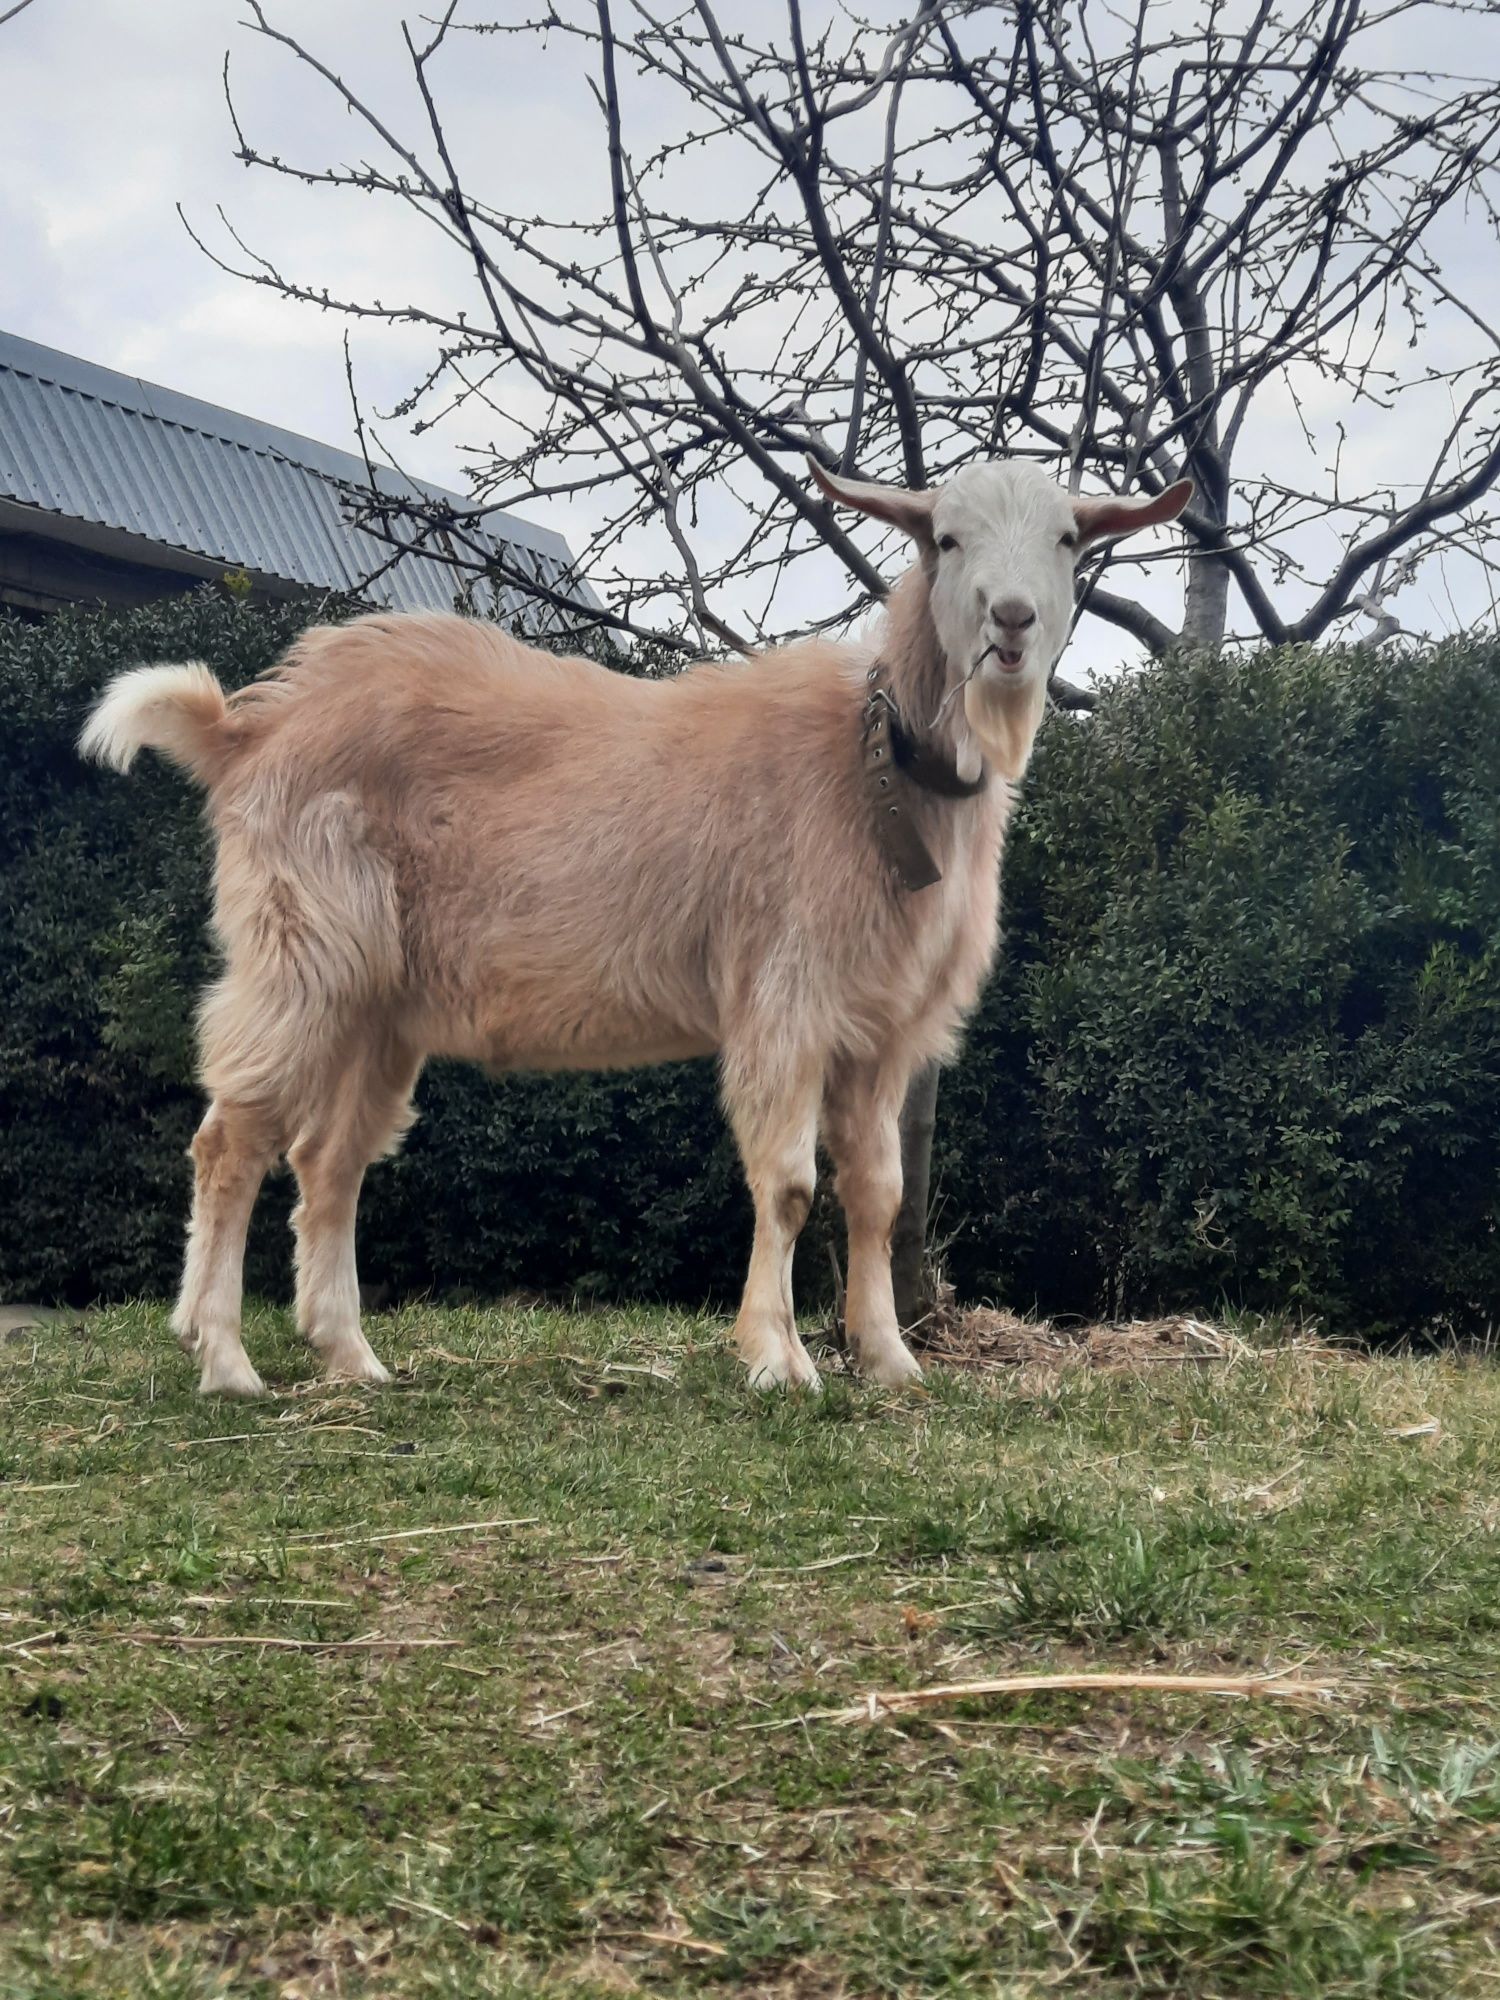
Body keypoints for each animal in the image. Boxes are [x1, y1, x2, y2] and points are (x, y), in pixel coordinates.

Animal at [82, 456, 1192, 1400]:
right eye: (946, 539)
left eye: (1066, 538)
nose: (1012, 622)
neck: (876, 763)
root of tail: (249, 728)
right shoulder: (784, 998)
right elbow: (790, 1184)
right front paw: (777, 1357)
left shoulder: (882, 1034)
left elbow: (878, 1191)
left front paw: (887, 1357)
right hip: (300, 948)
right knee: (231, 1139)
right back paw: (224, 1359)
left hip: (380, 1001)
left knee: (330, 1160)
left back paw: (351, 1355)